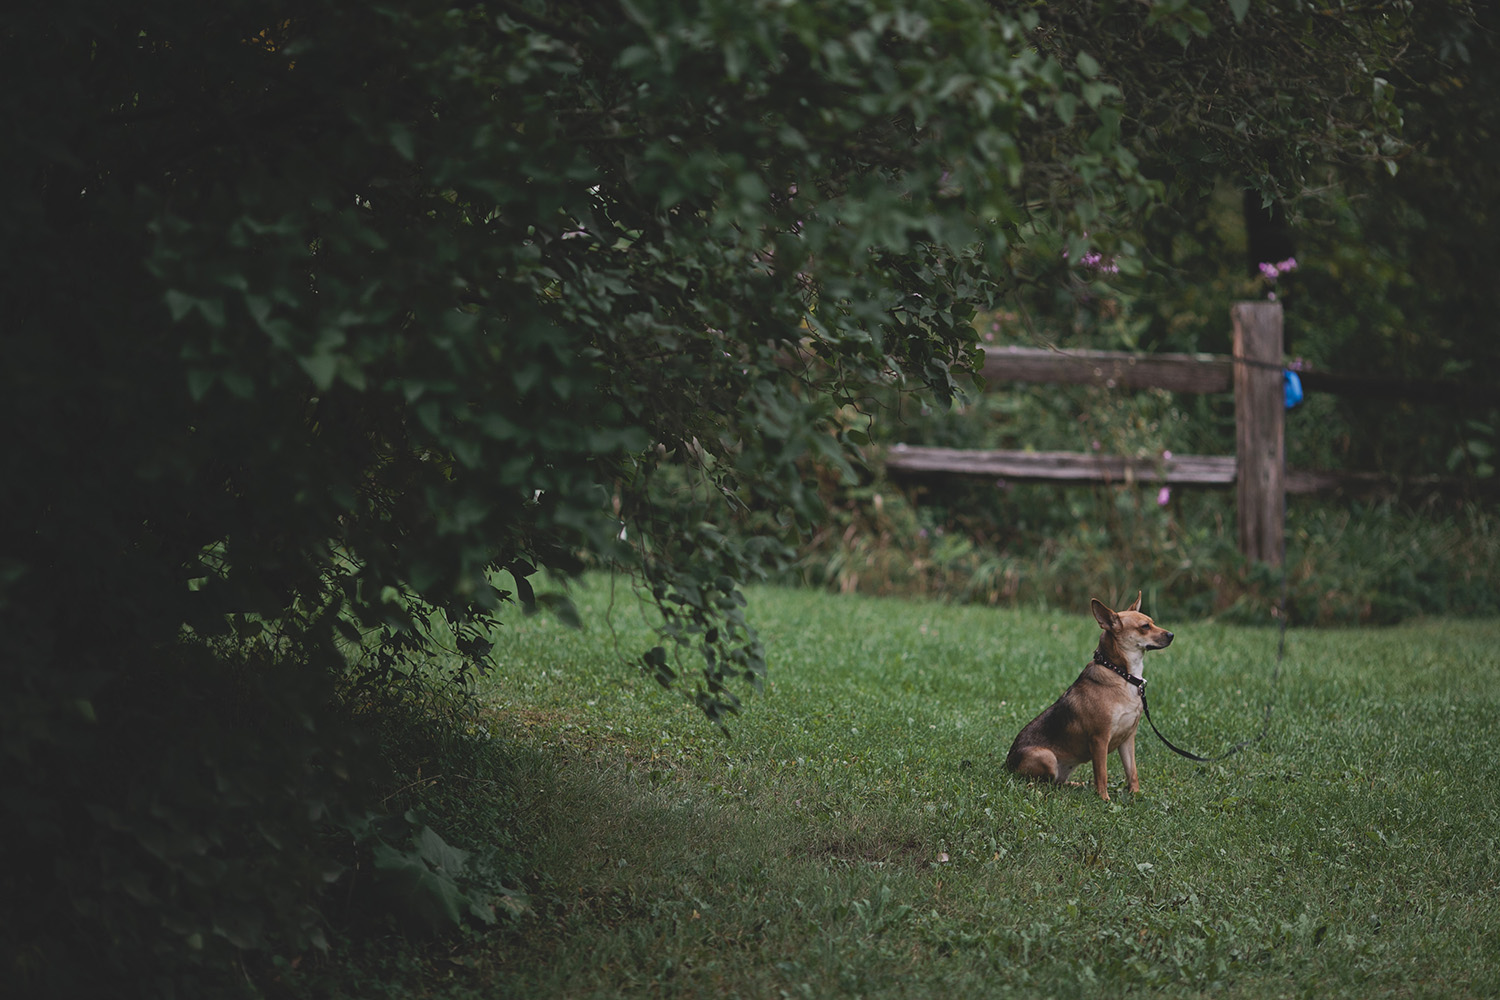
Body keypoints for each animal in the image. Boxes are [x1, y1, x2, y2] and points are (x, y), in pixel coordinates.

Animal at [1002, 593, 1176, 797]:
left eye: (1153, 622)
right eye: (1145, 626)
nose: (1172, 635)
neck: (1120, 673)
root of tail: (1006, 766)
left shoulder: (1128, 739)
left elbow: (1132, 772)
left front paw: (1136, 795)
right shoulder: (1099, 739)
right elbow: (1102, 774)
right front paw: (1104, 798)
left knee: (1059, 783)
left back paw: (1079, 785)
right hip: (1046, 756)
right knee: (1042, 783)